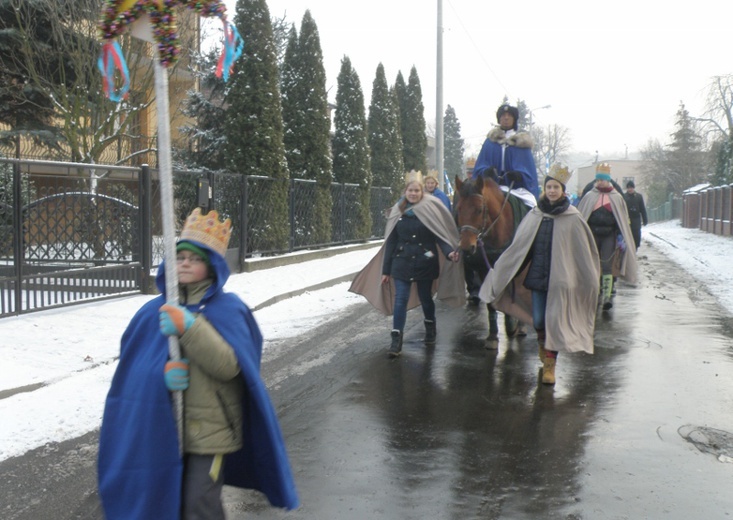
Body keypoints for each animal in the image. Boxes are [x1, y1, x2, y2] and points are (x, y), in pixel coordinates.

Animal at [452, 172, 528, 350]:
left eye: (479, 210)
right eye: (459, 209)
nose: (467, 247)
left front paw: (512, 324)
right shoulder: (484, 269)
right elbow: (491, 302)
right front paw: (493, 336)